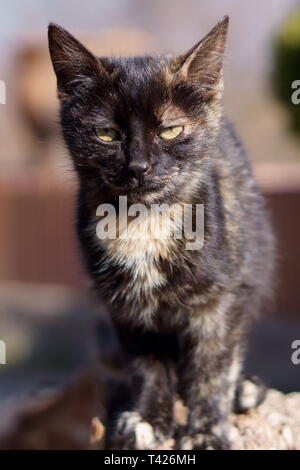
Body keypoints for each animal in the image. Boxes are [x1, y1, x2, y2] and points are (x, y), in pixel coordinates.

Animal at [48, 16, 276, 450]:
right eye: (106, 134)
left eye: (170, 131)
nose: (139, 166)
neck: (142, 223)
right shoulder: (125, 307)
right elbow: (148, 366)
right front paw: (150, 420)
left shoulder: (220, 300)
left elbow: (212, 367)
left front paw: (205, 432)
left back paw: (244, 390)